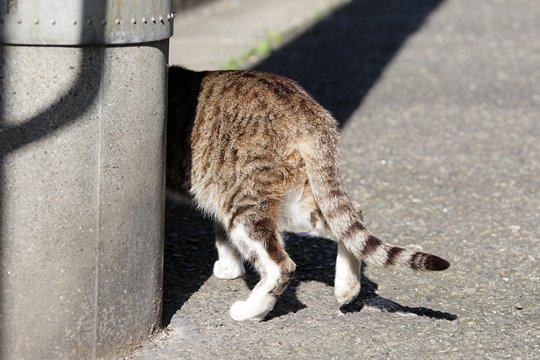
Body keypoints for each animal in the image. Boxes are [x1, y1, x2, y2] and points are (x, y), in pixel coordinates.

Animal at [167, 66, 450, 322]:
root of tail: (305, 110)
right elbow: (222, 235)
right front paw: (230, 267)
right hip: (293, 193)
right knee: (350, 216)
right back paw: (347, 287)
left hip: (243, 197)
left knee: (281, 265)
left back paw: (251, 312)